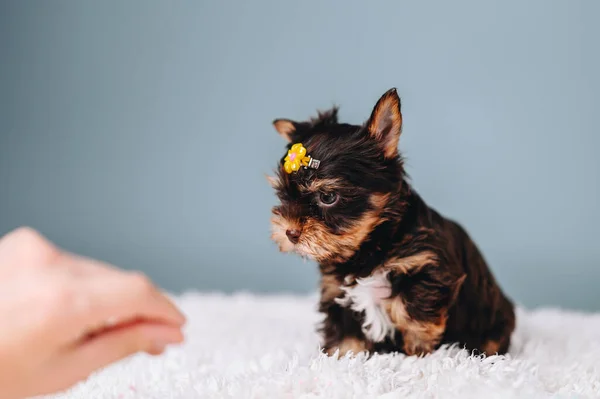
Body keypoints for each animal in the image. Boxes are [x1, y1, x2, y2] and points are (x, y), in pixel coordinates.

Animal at [270, 89, 512, 358]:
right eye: (284, 195)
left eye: (328, 197)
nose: (290, 233)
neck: (370, 245)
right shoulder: (337, 291)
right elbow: (345, 335)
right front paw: (342, 357)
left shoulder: (428, 270)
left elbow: (410, 314)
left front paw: (417, 353)